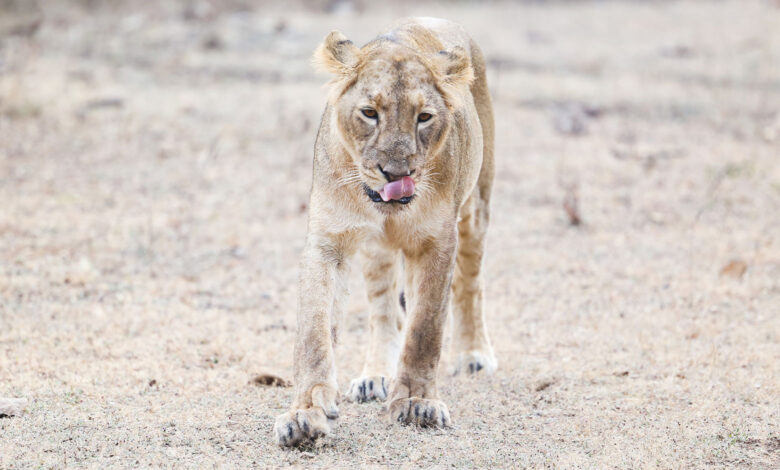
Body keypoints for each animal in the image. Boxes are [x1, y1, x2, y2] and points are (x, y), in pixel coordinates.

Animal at [273, 17, 496, 447]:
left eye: (424, 117)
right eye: (369, 112)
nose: (396, 174)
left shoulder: (437, 242)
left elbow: (425, 327)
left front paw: (416, 403)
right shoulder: (328, 241)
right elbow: (314, 332)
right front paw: (305, 414)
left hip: (476, 208)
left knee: (471, 284)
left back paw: (474, 354)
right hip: (377, 250)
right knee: (383, 311)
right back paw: (373, 376)